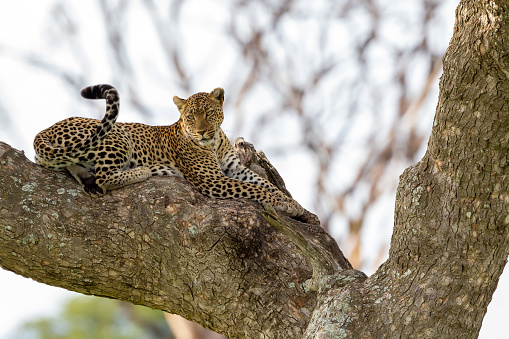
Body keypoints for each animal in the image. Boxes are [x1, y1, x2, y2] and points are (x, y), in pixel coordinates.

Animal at [34, 85, 306, 218]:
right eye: (190, 117)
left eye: (209, 113)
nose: (202, 132)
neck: (214, 143)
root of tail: (46, 129)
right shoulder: (211, 179)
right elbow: (255, 189)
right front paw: (283, 204)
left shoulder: (235, 169)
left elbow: (263, 183)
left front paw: (294, 205)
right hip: (116, 134)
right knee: (105, 176)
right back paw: (141, 171)